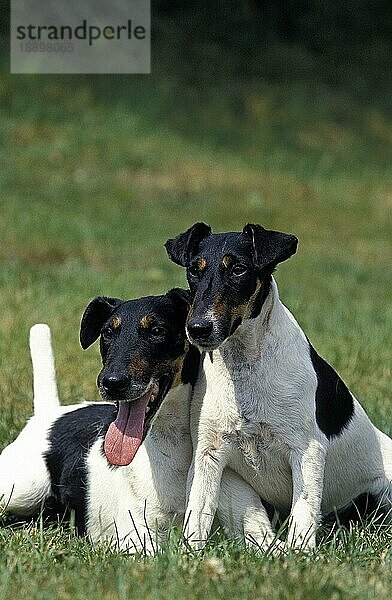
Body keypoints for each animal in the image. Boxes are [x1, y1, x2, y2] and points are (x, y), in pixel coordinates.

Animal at [0, 290, 282, 552]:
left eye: (157, 330)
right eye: (107, 333)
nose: (111, 383)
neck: (175, 450)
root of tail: (48, 412)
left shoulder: (259, 534)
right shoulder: (138, 538)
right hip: (22, 489)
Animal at [165, 221, 392, 548]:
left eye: (239, 270)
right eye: (195, 270)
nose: (197, 328)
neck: (245, 368)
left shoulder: (307, 451)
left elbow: (304, 513)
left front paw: (300, 555)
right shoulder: (208, 453)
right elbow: (198, 513)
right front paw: (189, 553)